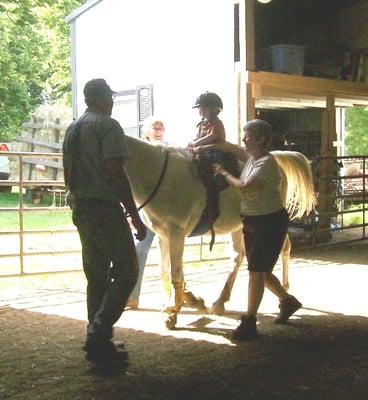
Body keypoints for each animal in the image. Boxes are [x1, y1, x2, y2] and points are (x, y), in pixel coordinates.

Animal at [125, 137, 314, 328]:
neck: (158, 174)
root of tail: (275, 158)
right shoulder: (163, 235)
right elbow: (164, 272)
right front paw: (186, 301)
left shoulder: (176, 233)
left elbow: (175, 274)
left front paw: (173, 314)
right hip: (239, 227)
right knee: (238, 257)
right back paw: (219, 302)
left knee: (284, 249)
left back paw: (285, 289)